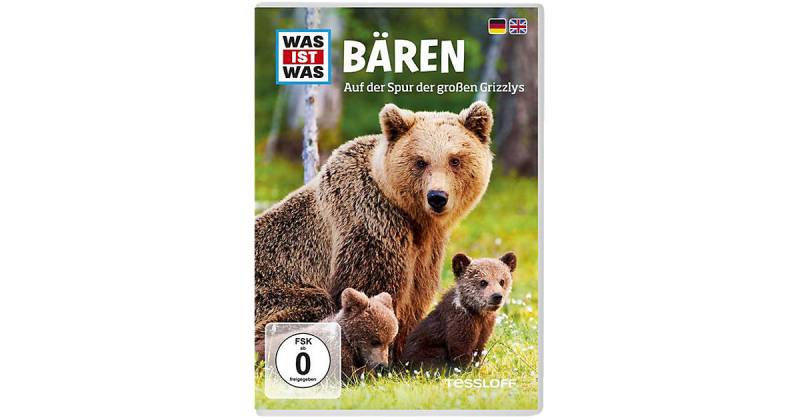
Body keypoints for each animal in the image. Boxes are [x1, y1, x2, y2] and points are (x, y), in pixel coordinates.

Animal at [255, 101, 494, 361]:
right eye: (421, 161)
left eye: (455, 160)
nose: (437, 197)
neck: (413, 218)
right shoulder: (371, 224)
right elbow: (375, 289)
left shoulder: (427, 248)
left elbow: (416, 295)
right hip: (274, 291)